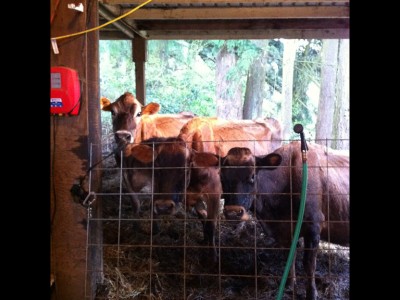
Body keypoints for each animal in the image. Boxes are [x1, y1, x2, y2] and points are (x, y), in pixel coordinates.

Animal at [220, 141, 348, 300]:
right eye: (222, 176)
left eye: (252, 176)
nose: (232, 213)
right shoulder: (285, 231)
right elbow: (289, 256)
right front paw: (289, 286)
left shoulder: (314, 226)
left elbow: (309, 264)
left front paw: (311, 294)